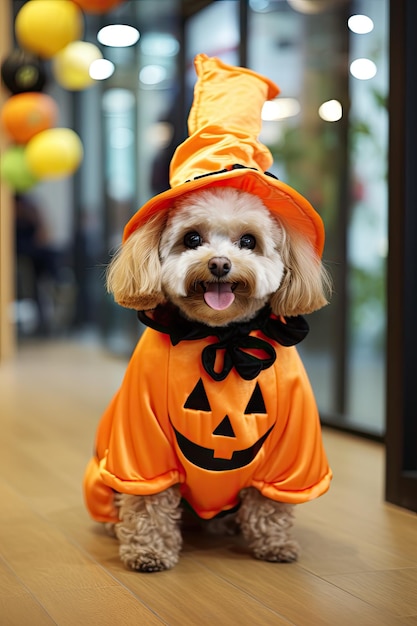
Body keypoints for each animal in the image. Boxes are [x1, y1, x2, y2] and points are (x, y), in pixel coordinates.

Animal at [83, 183, 332, 568]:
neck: (223, 335)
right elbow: (147, 502)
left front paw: (274, 544)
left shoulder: (291, 449)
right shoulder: (143, 446)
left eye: (248, 241)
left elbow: (270, 504)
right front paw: (149, 550)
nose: (219, 263)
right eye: (192, 238)